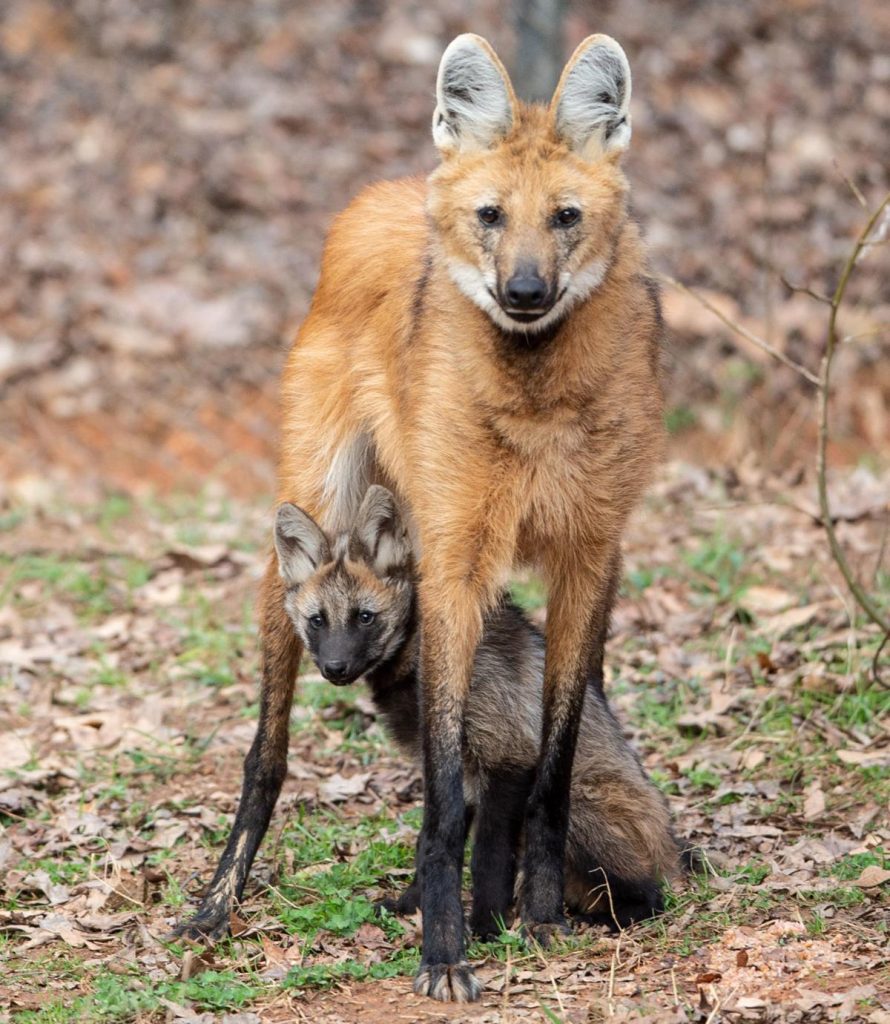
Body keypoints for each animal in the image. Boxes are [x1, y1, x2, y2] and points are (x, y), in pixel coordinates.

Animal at [274, 483, 675, 937]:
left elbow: (488, 858)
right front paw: (414, 906)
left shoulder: (508, 758)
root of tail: (674, 848)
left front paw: (487, 927)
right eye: (318, 620)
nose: (334, 668)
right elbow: (431, 845)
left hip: (573, 805)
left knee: (650, 895)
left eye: (364, 617)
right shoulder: (459, 770)